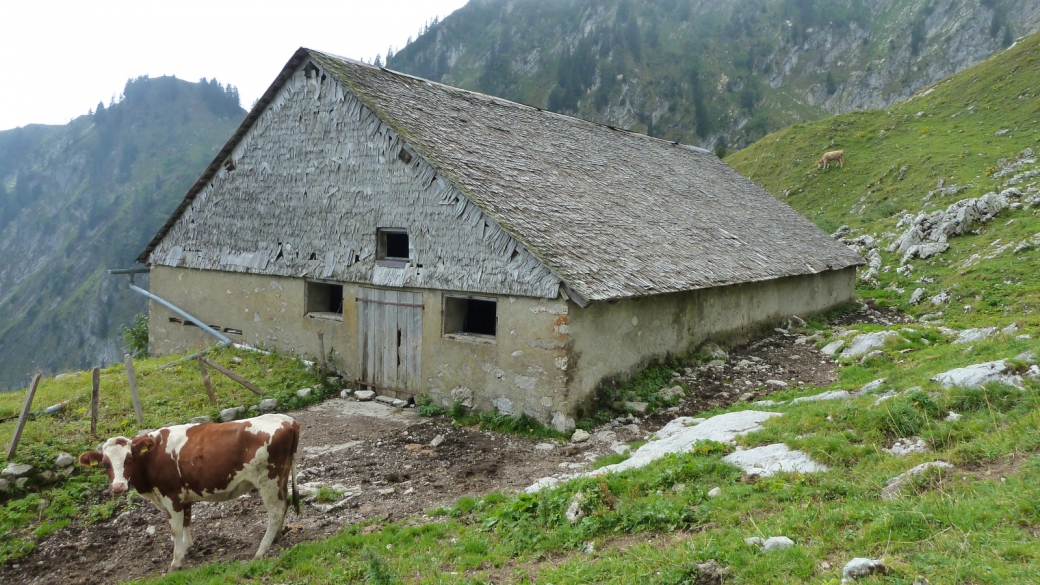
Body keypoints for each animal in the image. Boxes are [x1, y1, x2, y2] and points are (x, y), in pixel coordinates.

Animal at [79, 410, 299, 566]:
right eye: (105, 463)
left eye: (129, 458)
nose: (117, 486)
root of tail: (287, 420)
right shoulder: (184, 496)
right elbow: (186, 521)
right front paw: (188, 548)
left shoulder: (171, 495)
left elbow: (175, 529)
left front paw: (176, 562)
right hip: (281, 476)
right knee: (285, 503)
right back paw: (276, 538)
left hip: (267, 479)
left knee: (275, 510)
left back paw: (262, 549)